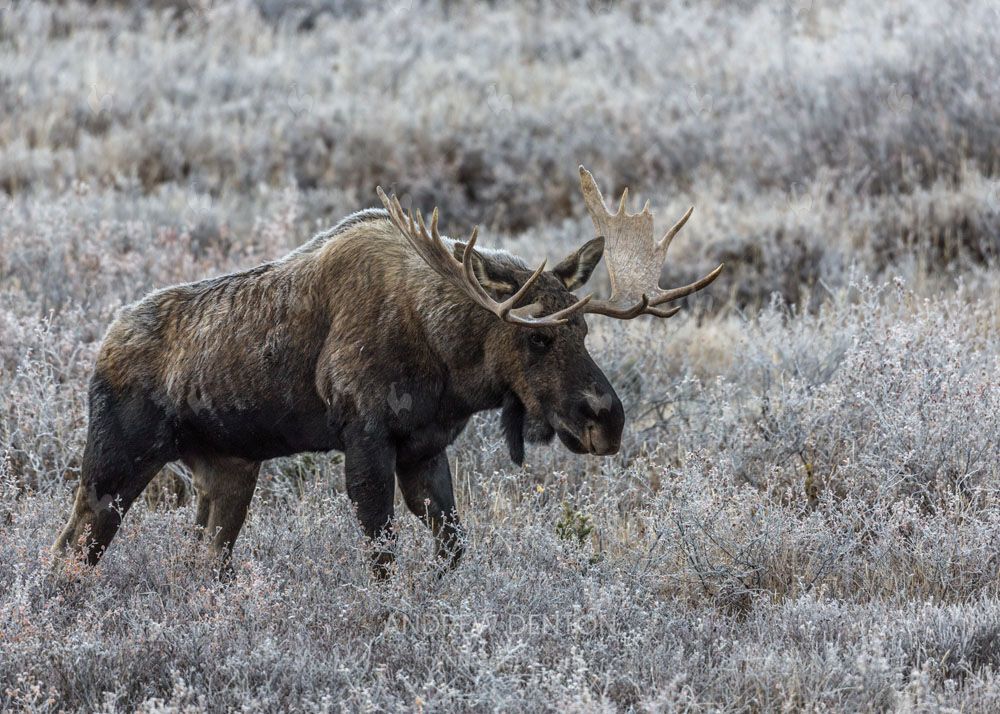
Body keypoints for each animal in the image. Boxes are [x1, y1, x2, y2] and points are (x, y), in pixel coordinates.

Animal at [51, 166, 722, 576]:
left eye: (585, 331)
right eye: (537, 337)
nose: (606, 420)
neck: (449, 365)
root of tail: (101, 347)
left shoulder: (424, 448)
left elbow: (452, 550)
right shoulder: (365, 435)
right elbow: (383, 557)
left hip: (228, 472)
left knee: (204, 563)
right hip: (112, 467)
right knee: (64, 553)